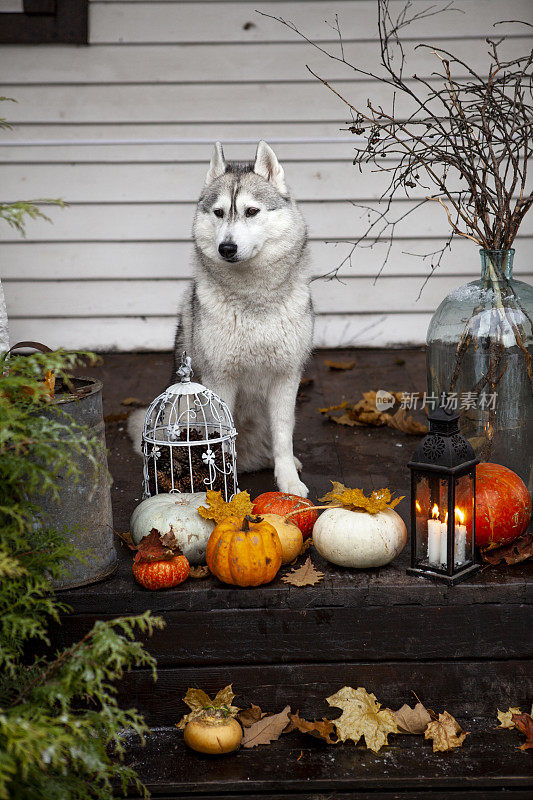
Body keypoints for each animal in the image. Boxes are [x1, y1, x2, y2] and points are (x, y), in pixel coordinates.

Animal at [129, 141, 312, 496]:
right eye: (218, 213)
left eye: (251, 211)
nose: (227, 247)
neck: (253, 299)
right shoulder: (220, 380)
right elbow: (222, 438)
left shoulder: (286, 377)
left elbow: (284, 436)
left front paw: (289, 482)